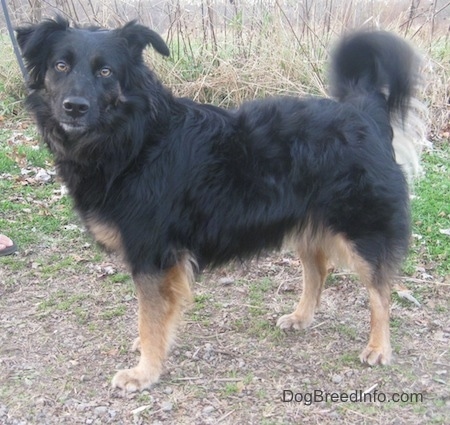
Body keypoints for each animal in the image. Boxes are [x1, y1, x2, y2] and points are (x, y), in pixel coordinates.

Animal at [15, 17, 424, 394]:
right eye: (60, 66)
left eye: (105, 71)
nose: (74, 107)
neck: (134, 138)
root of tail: (364, 110)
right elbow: (158, 314)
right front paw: (152, 348)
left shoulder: (153, 255)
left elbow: (151, 315)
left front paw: (145, 370)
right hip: (308, 221)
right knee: (318, 270)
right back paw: (301, 317)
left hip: (362, 230)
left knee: (381, 292)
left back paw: (378, 347)